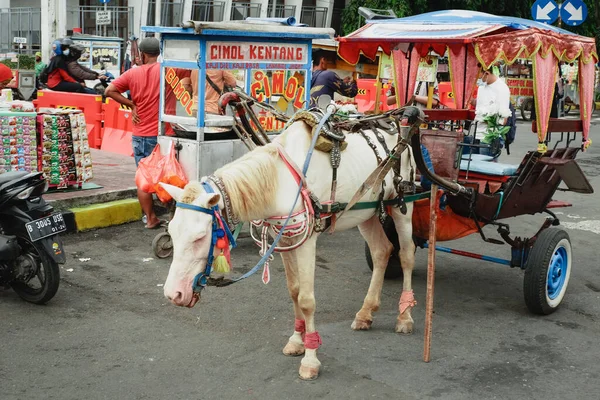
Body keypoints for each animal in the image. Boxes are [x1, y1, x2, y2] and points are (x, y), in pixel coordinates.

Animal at [162, 117, 420, 380]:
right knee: (381, 251)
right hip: (366, 214)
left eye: (200, 237)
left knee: (406, 254)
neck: (279, 180)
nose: (173, 294)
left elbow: (306, 300)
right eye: (171, 231)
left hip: (402, 204)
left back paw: (404, 316)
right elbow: (294, 291)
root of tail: (399, 128)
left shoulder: (307, 241)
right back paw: (366, 313)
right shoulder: (284, 240)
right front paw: (297, 340)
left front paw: (310, 358)